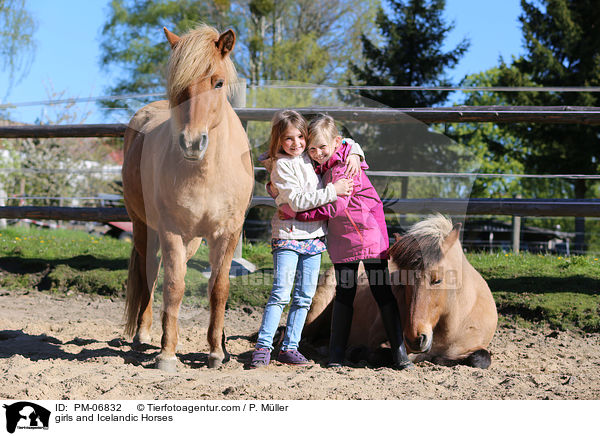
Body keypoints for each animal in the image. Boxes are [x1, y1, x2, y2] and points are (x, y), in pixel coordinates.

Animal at [122, 24, 253, 372]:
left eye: (218, 82)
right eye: (179, 85)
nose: (192, 143)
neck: (207, 171)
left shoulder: (226, 233)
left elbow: (218, 288)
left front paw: (217, 352)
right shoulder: (171, 231)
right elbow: (174, 287)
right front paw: (167, 354)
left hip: (193, 238)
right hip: (143, 227)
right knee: (151, 273)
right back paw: (143, 334)